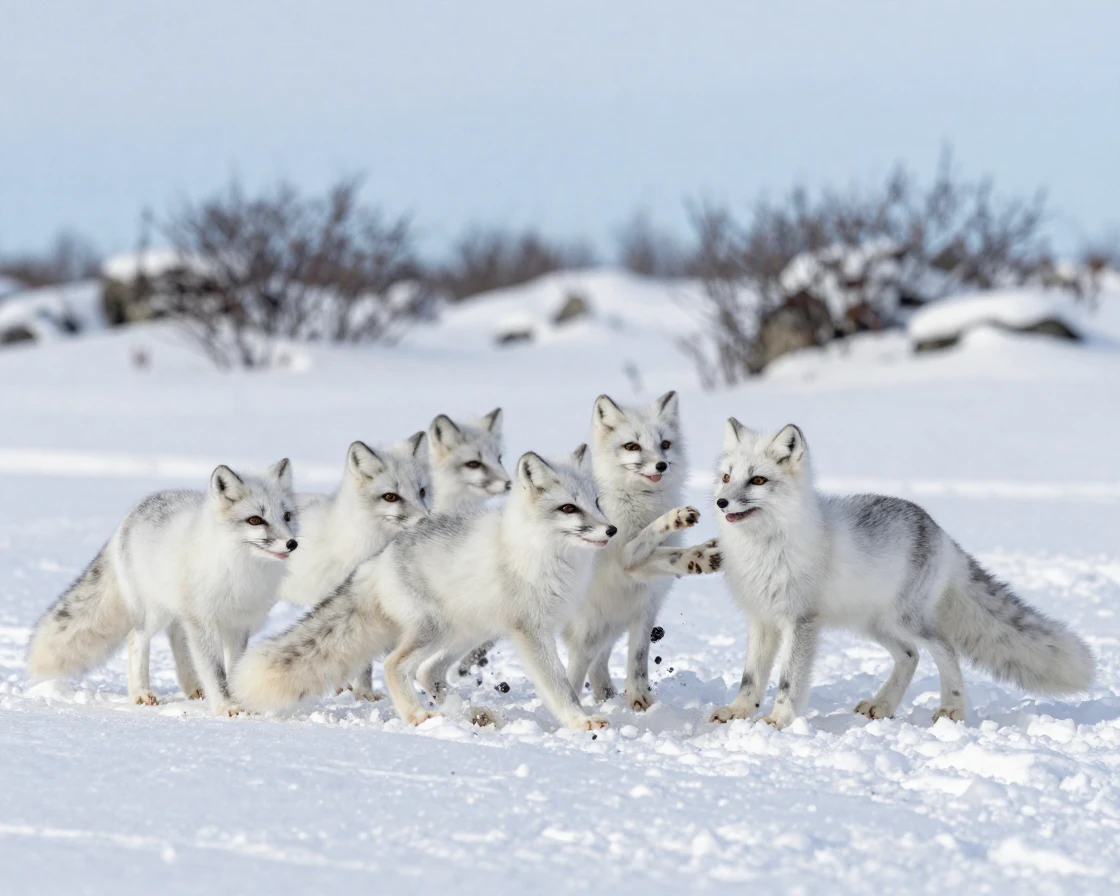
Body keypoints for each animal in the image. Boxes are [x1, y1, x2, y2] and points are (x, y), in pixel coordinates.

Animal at [27, 460, 298, 717]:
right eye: (255, 520)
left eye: (286, 516)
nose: (292, 543)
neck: (238, 567)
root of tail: (129, 516)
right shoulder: (204, 620)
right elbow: (215, 672)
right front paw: (227, 707)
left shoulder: (238, 623)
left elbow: (232, 670)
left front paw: (239, 701)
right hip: (153, 613)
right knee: (136, 639)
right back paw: (140, 693)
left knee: (177, 637)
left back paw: (192, 687)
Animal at [232, 447, 619, 731]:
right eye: (568, 508)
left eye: (597, 503)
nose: (612, 530)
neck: (541, 552)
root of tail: (377, 561)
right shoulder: (531, 631)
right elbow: (559, 686)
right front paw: (581, 721)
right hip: (435, 631)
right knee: (395, 666)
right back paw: (417, 716)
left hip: (465, 634)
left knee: (427, 672)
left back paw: (470, 715)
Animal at [562, 391, 722, 712]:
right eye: (631, 446)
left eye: (665, 444)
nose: (661, 465)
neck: (639, 503)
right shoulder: (625, 558)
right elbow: (649, 538)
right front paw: (675, 519)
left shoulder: (647, 598)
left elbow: (638, 657)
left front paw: (639, 697)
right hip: (589, 631)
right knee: (576, 670)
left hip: (610, 627)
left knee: (598, 665)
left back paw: (607, 698)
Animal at [710, 419, 1095, 730]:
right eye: (727, 477)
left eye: (758, 480)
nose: (721, 502)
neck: (764, 547)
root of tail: (941, 532)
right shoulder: (761, 619)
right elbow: (750, 677)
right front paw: (739, 711)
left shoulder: (800, 621)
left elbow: (789, 680)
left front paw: (778, 719)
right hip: (875, 624)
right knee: (911, 656)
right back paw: (882, 705)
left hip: (906, 621)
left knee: (945, 648)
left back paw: (952, 709)